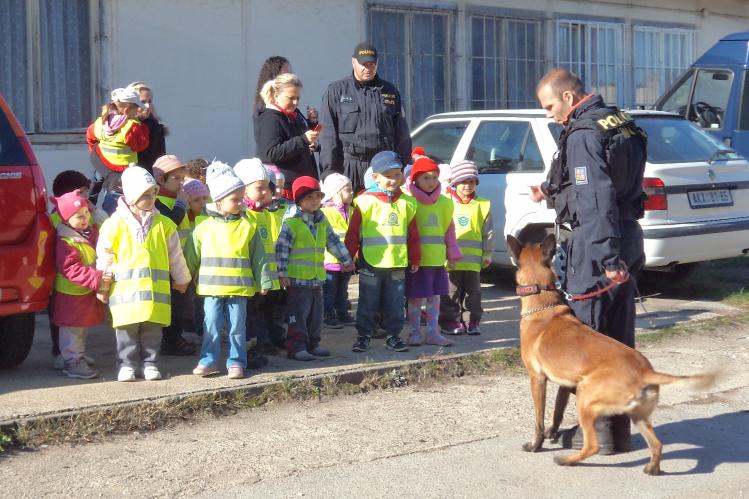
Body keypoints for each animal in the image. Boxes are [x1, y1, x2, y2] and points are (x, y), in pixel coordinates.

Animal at [508, 235, 712, 476]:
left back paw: (568, 459)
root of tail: (645, 371)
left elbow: (538, 419)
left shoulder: (537, 379)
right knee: (657, 444)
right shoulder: (565, 384)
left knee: (593, 445)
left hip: (585, 400)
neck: (543, 303)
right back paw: (652, 467)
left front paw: (535, 444)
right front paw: (552, 432)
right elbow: (558, 410)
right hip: (637, 415)